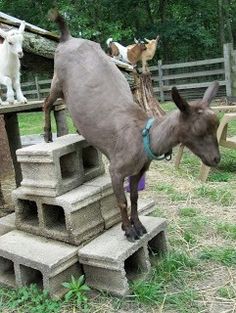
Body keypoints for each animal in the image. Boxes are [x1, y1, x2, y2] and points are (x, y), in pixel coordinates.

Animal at [44, 11, 221, 241]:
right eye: (198, 130)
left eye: (216, 126)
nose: (216, 159)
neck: (143, 137)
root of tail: (67, 37)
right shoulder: (117, 170)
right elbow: (122, 201)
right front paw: (128, 230)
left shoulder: (139, 170)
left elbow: (135, 196)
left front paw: (139, 225)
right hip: (57, 78)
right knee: (46, 103)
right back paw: (47, 134)